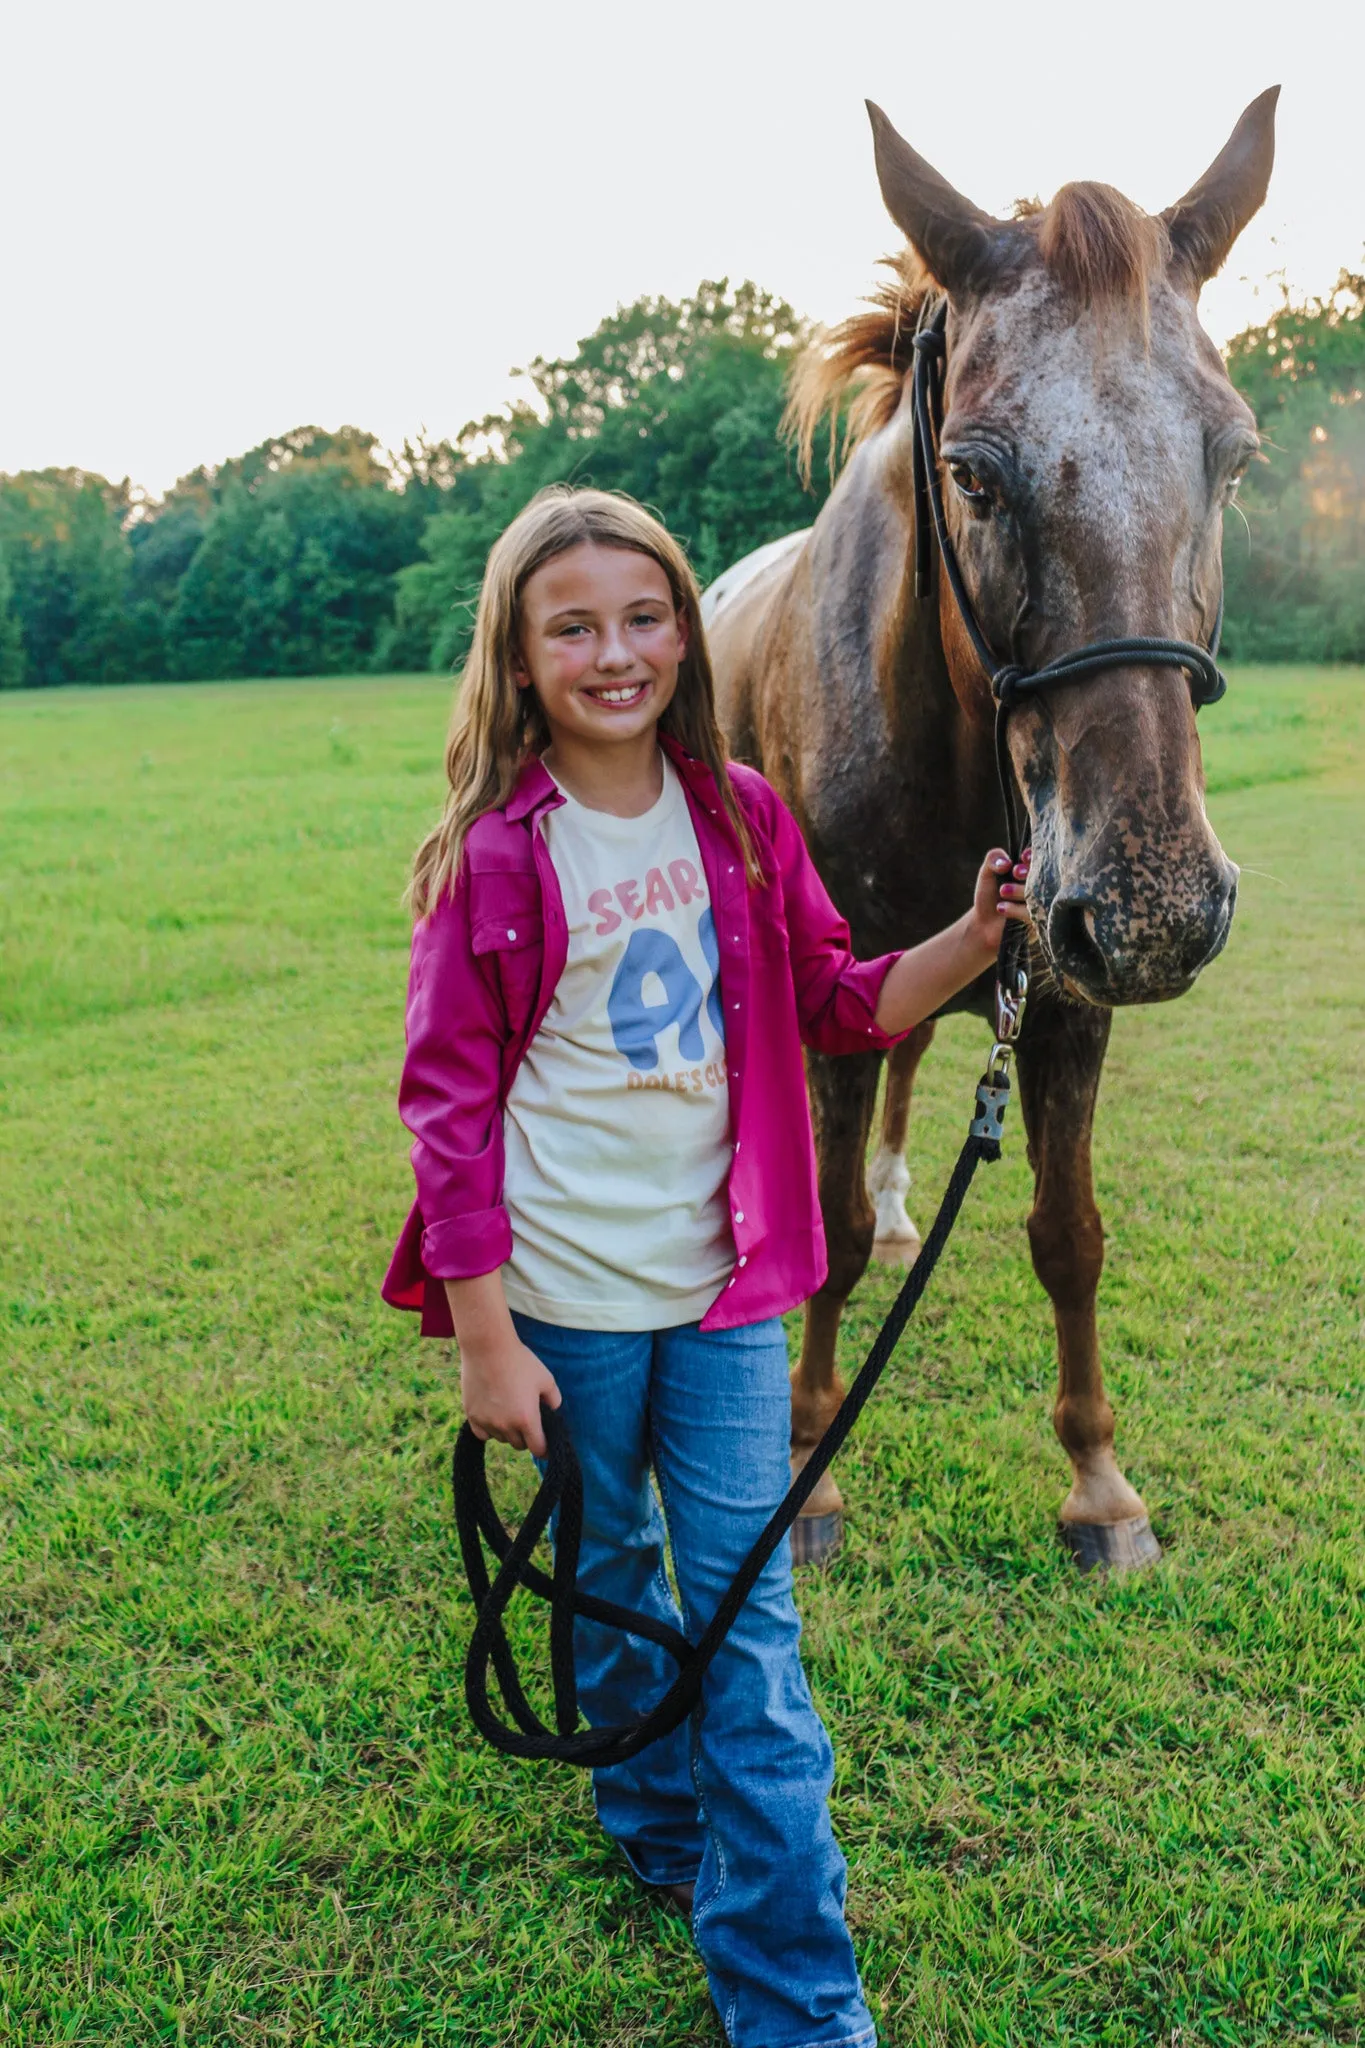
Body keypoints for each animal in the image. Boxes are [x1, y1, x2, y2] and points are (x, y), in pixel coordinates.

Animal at [703, 83, 1285, 1564]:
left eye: (1234, 458)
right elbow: (833, 1227)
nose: (1153, 908)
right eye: (970, 472)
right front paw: (808, 1464)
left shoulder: (1065, 998)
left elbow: (1067, 1232)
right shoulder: (840, 985)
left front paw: (1099, 1481)